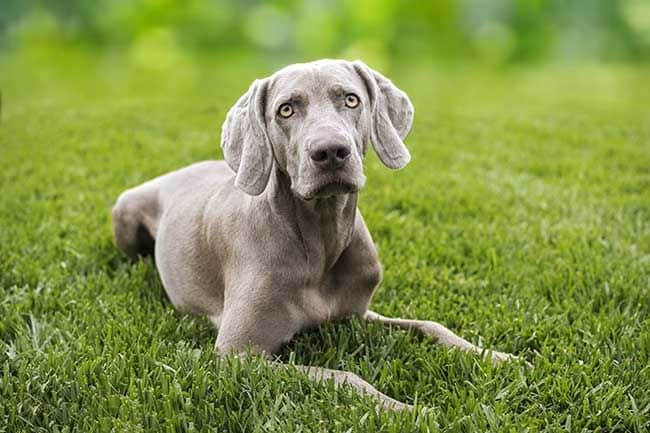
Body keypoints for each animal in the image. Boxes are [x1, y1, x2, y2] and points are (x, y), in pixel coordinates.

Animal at [111, 58, 516, 408]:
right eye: (286, 110)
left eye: (351, 99)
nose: (331, 151)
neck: (321, 239)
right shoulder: (238, 355)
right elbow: (345, 377)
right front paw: (408, 410)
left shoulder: (356, 314)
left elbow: (430, 325)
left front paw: (500, 358)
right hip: (124, 211)